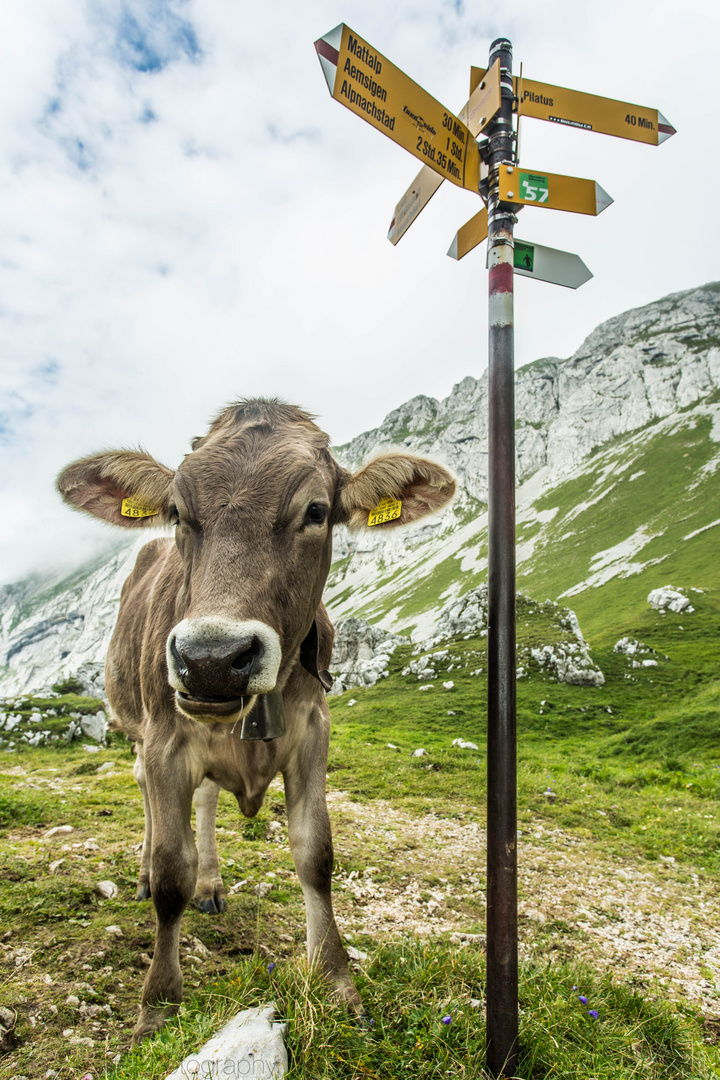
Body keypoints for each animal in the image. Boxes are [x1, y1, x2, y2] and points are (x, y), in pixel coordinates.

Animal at [56, 401, 453, 1041]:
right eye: (177, 511)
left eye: (316, 511)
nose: (211, 660)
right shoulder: (166, 742)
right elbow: (171, 872)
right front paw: (156, 1008)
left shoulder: (314, 733)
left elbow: (315, 855)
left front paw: (338, 982)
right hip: (136, 729)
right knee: (148, 799)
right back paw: (143, 873)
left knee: (205, 802)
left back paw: (212, 883)